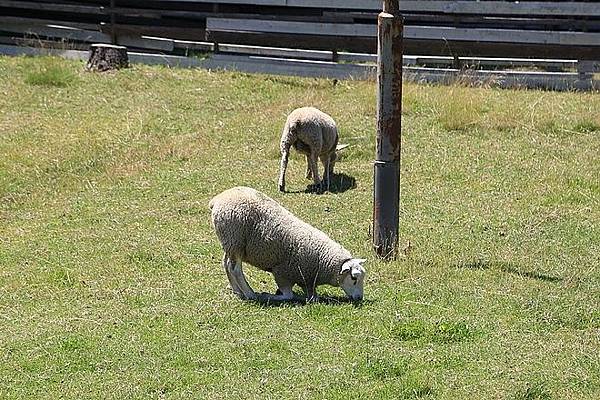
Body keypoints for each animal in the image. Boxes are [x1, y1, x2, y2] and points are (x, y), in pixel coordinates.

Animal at [209, 186, 368, 302]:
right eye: (354, 278)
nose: (359, 298)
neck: (321, 260)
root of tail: (217, 199)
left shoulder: (306, 279)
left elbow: (313, 296)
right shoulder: (282, 272)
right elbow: (288, 295)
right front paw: (270, 295)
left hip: (230, 243)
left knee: (226, 264)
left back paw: (237, 291)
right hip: (235, 240)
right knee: (235, 268)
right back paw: (250, 294)